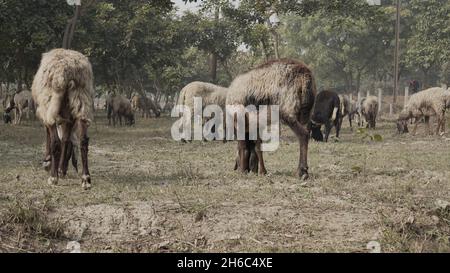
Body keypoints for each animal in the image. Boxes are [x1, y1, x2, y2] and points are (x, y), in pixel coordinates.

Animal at [32, 48, 95, 189]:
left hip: (51, 101)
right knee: (83, 140)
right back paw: (86, 178)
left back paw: (53, 177)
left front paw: (48, 163)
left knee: (56, 141)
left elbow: (53, 137)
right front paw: (61, 169)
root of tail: (69, 72)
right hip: (81, 100)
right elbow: (66, 140)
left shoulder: (46, 111)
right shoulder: (69, 118)